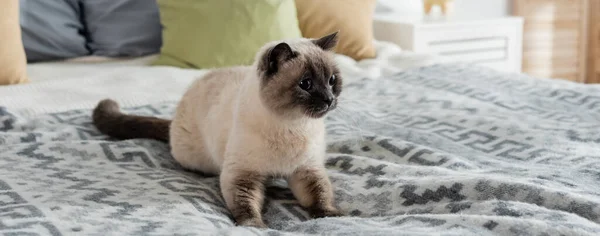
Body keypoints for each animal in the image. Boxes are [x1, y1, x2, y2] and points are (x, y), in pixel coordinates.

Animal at [89, 32, 342, 228]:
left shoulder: (306, 170)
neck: (293, 125)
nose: (329, 100)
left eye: (332, 80)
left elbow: (319, 195)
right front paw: (255, 226)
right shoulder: (242, 174)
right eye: (306, 84)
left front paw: (329, 215)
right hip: (196, 160)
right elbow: (246, 204)